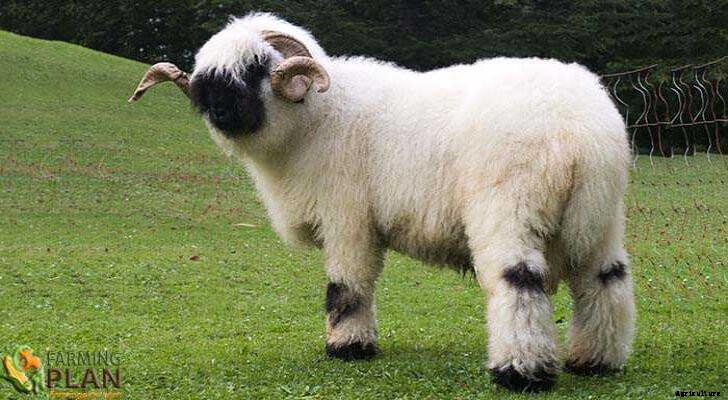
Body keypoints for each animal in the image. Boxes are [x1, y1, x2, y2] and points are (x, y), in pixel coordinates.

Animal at [128, 12, 636, 392]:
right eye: (208, 77)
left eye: (255, 67)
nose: (217, 111)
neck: (318, 117)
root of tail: (580, 131)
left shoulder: (347, 218)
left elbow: (346, 288)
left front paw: (348, 348)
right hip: (602, 218)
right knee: (606, 281)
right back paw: (595, 362)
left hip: (511, 209)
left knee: (519, 283)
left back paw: (519, 372)